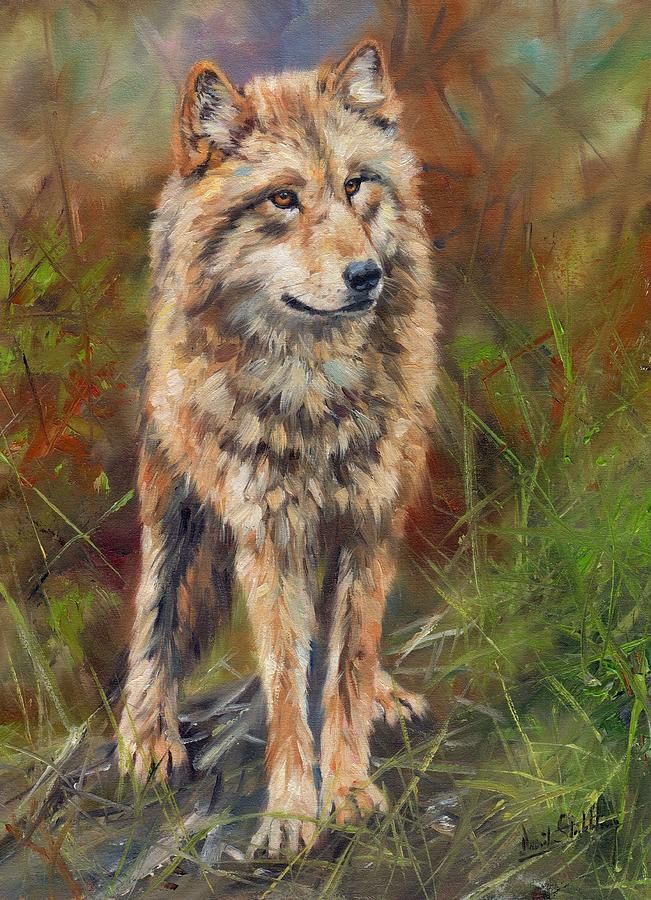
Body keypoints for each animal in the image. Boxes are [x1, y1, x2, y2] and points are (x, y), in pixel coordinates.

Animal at [118, 39, 439, 856]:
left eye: (356, 186)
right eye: (283, 199)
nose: (366, 275)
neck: (314, 391)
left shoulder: (368, 522)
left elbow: (346, 666)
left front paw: (349, 790)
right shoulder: (267, 538)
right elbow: (287, 686)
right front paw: (292, 814)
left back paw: (385, 695)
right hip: (174, 501)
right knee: (155, 613)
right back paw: (146, 734)